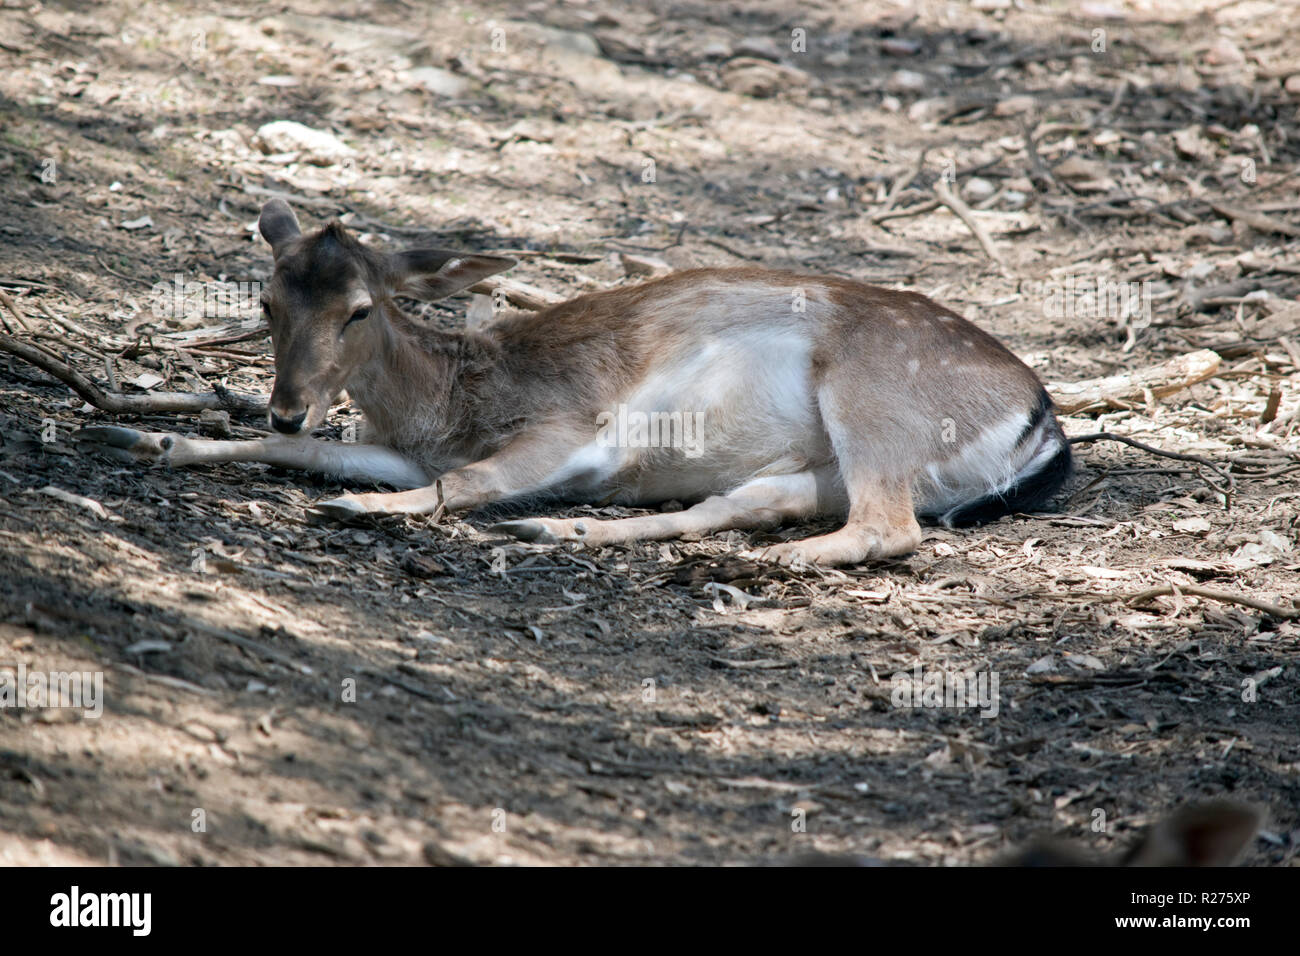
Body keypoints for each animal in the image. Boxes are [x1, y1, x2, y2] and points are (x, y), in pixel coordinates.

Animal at [76, 199, 1072, 566]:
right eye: (268, 298)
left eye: (360, 309)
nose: (287, 401)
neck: (448, 407)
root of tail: (1043, 423)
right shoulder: (402, 449)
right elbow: (312, 455)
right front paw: (137, 433)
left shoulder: (571, 430)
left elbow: (467, 484)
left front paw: (359, 509)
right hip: (828, 462)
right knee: (749, 503)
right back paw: (571, 530)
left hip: (875, 399)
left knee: (888, 528)